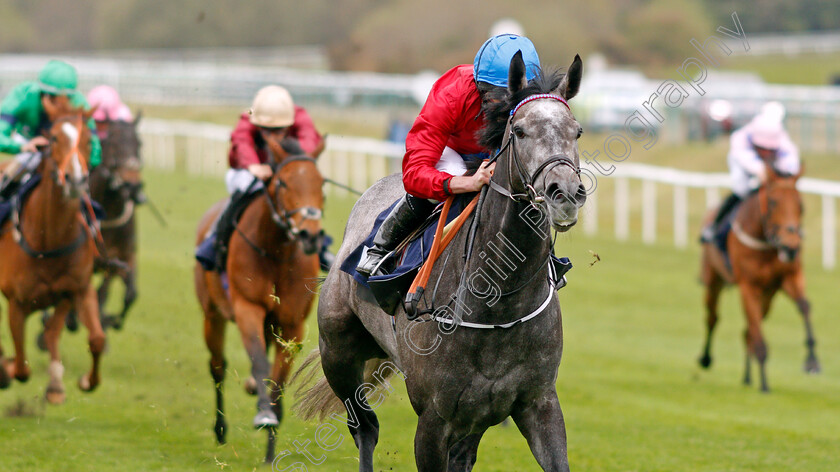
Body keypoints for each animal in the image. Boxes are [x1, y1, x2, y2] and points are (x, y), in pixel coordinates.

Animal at [0, 99, 106, 402]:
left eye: (89, 139)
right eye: (55, 138)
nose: (75, 180)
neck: (49, 240)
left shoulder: (78, 289)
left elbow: (96, 339)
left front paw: (84, 381)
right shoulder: (16, 304)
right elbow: (21, 368)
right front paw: (6, 370)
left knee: (51, 333)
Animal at [195, 138, 326, 462]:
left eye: (321, 183)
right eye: (283, 182)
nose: (310, 235)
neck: (276, 251)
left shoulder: (293, 324)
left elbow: (278, 378)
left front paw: (271, 445)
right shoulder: (247, 308)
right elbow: (258, 361)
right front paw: (265, 414)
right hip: (212, 314)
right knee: (217, 366)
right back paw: (220, 430)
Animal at [296, 52, 584, 472]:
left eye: (577, 131)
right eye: (519, 131)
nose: (564, 192)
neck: (500, 301)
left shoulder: (538, 403)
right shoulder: (434, 418)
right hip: (339, 355)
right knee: (364, 427)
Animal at [704, 168, 820, 392]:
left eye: (800, 204)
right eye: (773, 202)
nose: (791, 246)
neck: (765, 241)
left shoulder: (789, 277)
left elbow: (804, 306)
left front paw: (812, 361)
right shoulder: (747, 286)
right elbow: (757, 334)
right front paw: (765, 384)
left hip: (768, 296)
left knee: (748, 330)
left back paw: (748, 377)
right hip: (713, 279)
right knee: (713, 318)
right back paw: (705, 359)